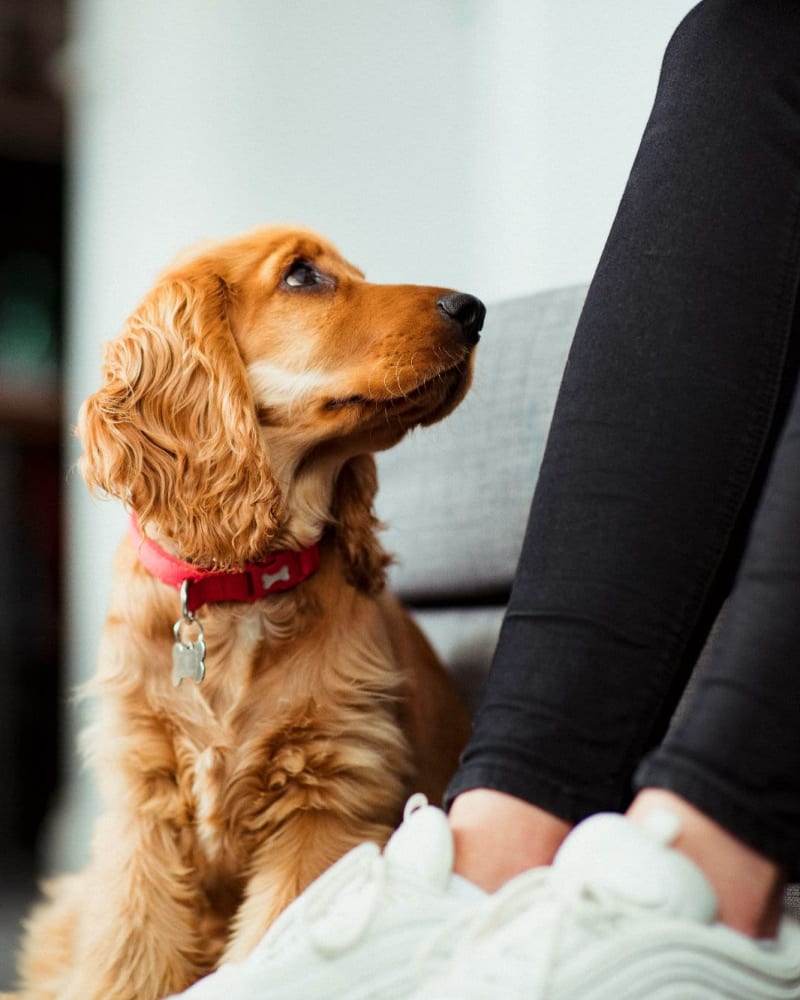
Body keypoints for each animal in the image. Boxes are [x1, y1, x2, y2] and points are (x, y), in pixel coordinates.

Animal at [15, 227, 484, 1000]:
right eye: (302, 276)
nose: (472, 309)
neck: (237, 588)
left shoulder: (326, 806)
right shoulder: (142, 808)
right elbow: (127, 954)